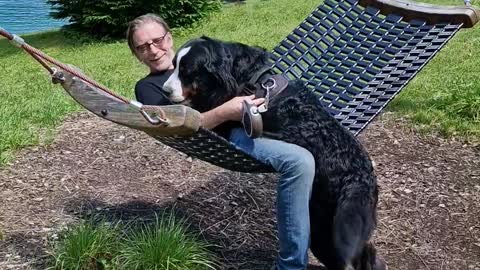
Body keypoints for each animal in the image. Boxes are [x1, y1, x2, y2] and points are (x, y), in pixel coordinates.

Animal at [163, 36, 384, 270]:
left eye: (187, 71)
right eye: (174, 66)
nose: (165, 90)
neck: (250, 79)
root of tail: (362, 178)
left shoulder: (226, 122)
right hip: (324, 228)